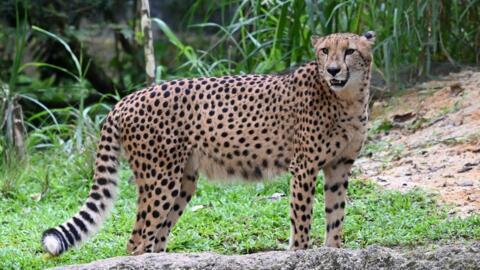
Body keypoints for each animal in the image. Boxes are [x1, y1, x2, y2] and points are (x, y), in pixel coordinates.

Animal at [41, 31, 376, 255]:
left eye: (349, 51)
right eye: (324, 50)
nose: (333, 70)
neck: (346, 98)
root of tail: (126, 99)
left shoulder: (339, 166)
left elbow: (336, 215)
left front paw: (333, 251)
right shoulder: (304, 166)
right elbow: (302, 217)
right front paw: (301, 253)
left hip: (183, 180)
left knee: (154, 237)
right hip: (160, 180)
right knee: (137, 240)